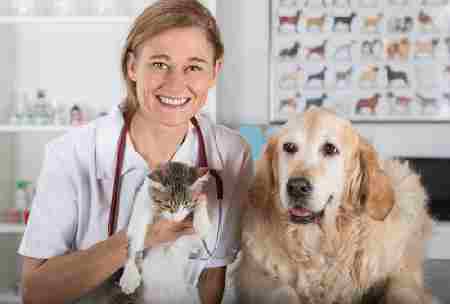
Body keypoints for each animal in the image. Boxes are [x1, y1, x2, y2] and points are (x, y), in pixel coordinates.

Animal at [118, 160, 212, 302]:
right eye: (168, 205)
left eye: (187, 203)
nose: (177, 217)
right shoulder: (141, 207)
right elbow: (134, 238)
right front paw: (129, 274)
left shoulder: (191, 239)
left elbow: (201, 207)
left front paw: (202, 223)